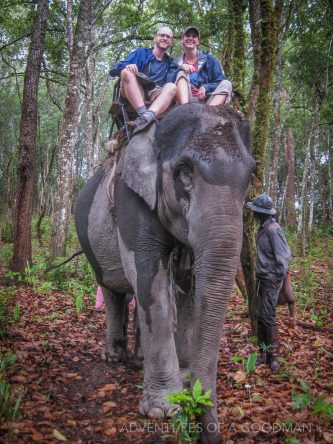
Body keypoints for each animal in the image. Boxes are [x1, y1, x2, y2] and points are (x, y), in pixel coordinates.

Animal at [74, 103, 254, 440]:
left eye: (252, 174)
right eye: (185, 170)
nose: (208, 433)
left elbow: (191, 288)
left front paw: (184, 381)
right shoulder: (131, 196)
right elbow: (149, 278)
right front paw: (163, 408)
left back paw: (139, 360)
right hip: (89, 240)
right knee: (113, 291)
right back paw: (114, 356)